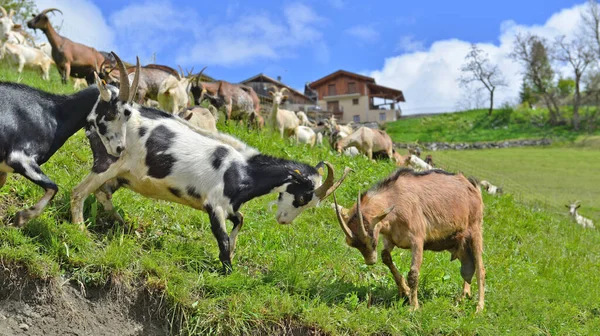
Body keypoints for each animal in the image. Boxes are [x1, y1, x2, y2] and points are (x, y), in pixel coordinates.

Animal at [69, 52, 352, 272]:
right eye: (303, 197)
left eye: (312, 204)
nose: (284, 221)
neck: (243, 170)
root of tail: (97, 115)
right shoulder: (213, 205)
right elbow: (224, 240)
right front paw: (228, 272)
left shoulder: (230, 207)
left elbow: (240, 221)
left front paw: (234, 254)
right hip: (107, 162)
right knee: (78, 192)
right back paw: (80, 230)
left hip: (122, 175)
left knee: (103, 194)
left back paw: (122, 224)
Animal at [332, 169, 488, 314]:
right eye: (353, 244)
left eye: (371, 239)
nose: (370, 261)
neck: (396, 199)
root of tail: (474, 189)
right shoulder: (390, 238)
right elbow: (385, 256)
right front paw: (405, 291)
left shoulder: (417, 239)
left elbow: (413, 273)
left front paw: (414, 306)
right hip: (457, 242)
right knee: (467, 264)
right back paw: (463, 296)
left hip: (475, 230)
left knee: (480, 268)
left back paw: (479, 307)